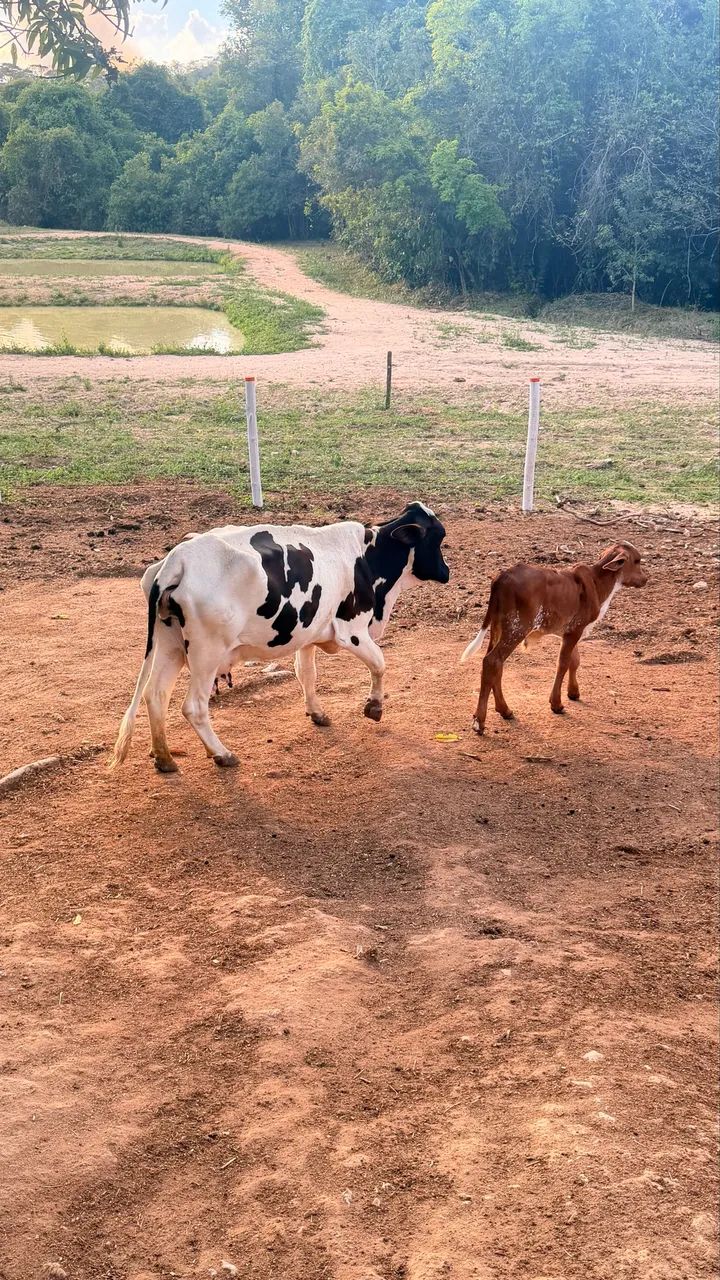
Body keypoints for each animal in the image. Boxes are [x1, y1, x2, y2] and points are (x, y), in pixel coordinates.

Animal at [109, 502, 449, 773]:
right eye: (437, 538)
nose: (447, 572)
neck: (366, 557)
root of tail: (176, 560)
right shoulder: (351, 630)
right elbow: (379, 662)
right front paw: (374, 706)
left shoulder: (308, 634)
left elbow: (306, 674)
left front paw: (317, 712)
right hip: (206, 654)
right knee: (193, 706)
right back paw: (221, 753)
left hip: (170, 647)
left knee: (155, 695)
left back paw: (164, 757)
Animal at [460, 541, 648, 735]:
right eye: (637, 560)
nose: (646, 578)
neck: (598, 582)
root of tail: (501, 576)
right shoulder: (575, 630)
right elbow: (563, 663)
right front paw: (556, 703)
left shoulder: (570, 631)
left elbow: (575, 660)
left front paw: (573, 692)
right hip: (517, 628)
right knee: (492, 661)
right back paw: (480, 720)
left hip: (498, 627)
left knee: (495, 664)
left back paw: (504, 710)